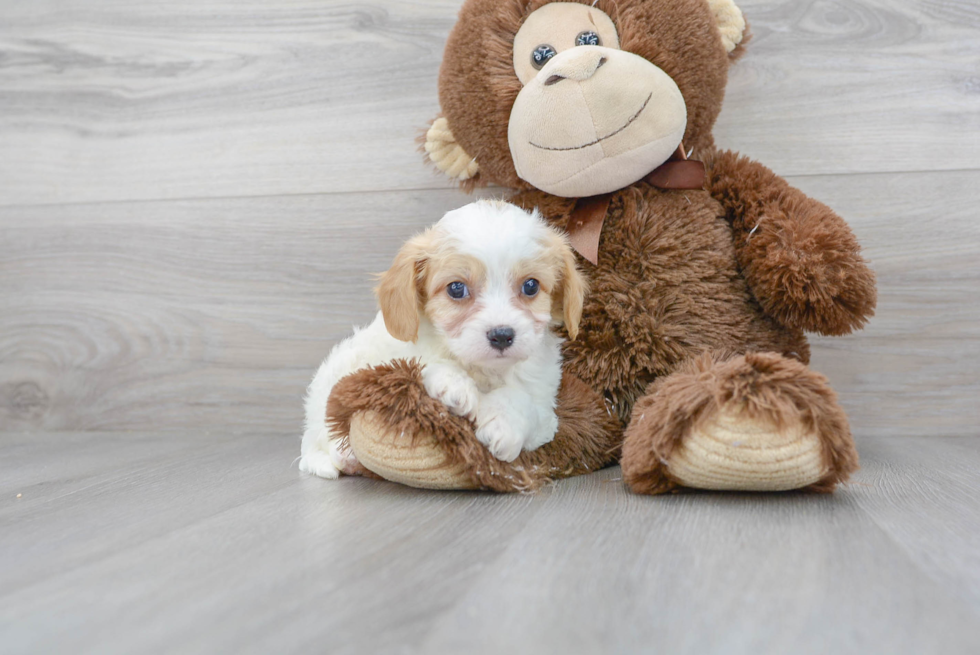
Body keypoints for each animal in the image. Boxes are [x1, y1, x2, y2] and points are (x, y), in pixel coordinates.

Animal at [298, 197, 584, 480]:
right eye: (456, 288)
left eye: (531, 286)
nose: (502, 335)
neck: (482, 369)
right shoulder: (387, 361)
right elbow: (418, 361)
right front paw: (453, 385)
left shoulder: (546, 413)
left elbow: (524, 401)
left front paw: (503, 424)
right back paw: (343, 455)